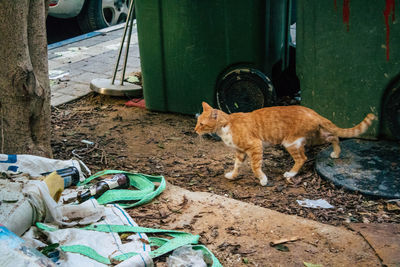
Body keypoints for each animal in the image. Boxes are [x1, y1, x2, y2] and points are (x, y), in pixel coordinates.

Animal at [195, 102, 376, 186]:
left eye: (202, 124)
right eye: (197, 122)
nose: (195, 130)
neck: (227, 125)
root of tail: (314, 112)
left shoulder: (255, 145)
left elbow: (255, 166)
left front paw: (263, 179)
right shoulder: (240, 152)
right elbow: (236, 165)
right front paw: (232, 176)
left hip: (291, 142)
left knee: (302, 158)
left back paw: (291, 174)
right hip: (317, 136)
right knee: (334, 137)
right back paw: (336, 153)